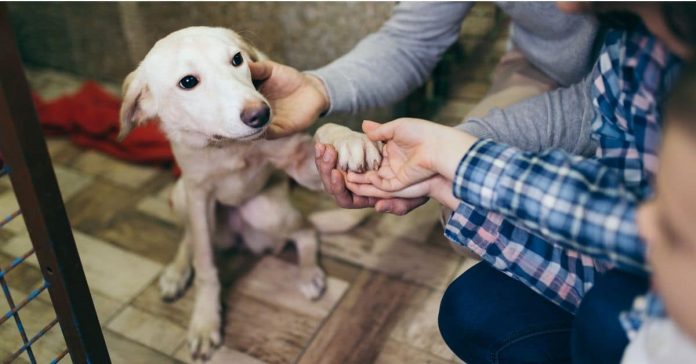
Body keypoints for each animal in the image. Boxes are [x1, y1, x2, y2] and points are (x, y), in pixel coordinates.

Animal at [119, 26, 380, 362]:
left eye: (237, 59)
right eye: (188, 82)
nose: (261, 114)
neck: (228, 146)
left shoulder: (300, 162)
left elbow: (325, 132)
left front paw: (349, 140)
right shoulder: (198, 195)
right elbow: (205, 266)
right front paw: (205, 321)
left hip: (268, 212)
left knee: (307, 230)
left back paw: (309, 273)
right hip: (181, 196)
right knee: (191, 237)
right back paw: (176, 272)